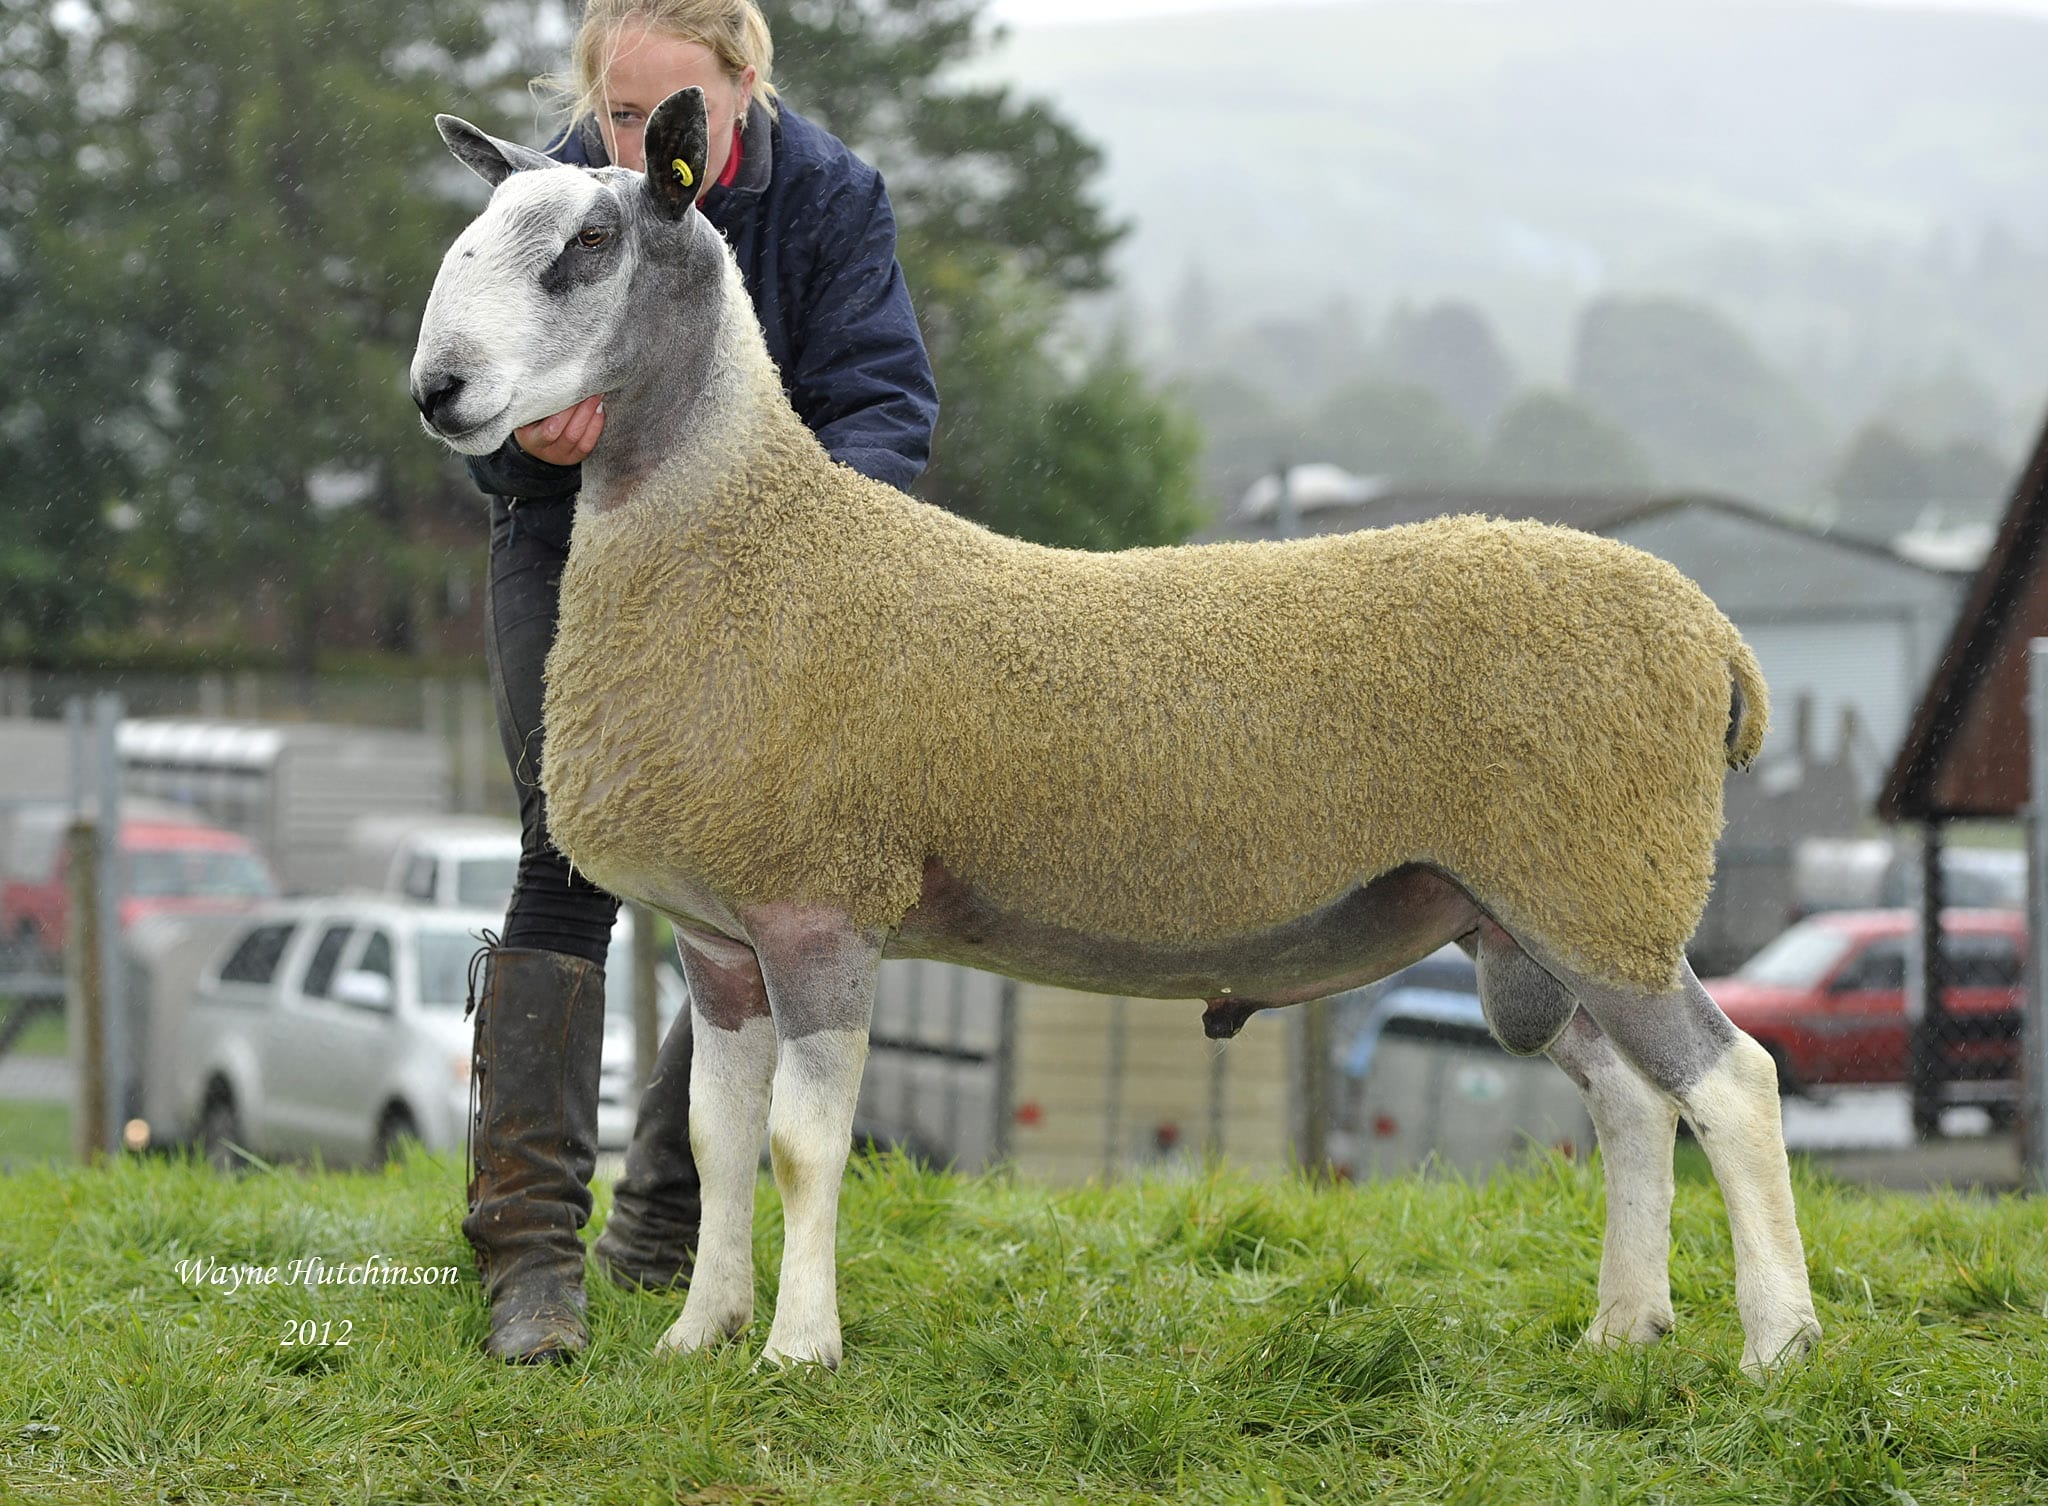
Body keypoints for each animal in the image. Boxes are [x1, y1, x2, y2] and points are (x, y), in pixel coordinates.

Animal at [407, 85, 1818, 1376]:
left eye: (591, 244)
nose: (438, 391)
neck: (754, 541)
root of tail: (1715, 638)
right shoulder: (719, 933)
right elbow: (720, 1140)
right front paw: (699, 1335)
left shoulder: (821, 901)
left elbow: (805, 1148)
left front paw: (799, 1351)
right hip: (1523, 913)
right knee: (1633, 1102)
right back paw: (1624, 1325)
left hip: (1599, 880)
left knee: (1730, 1083)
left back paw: (1778, 1346)